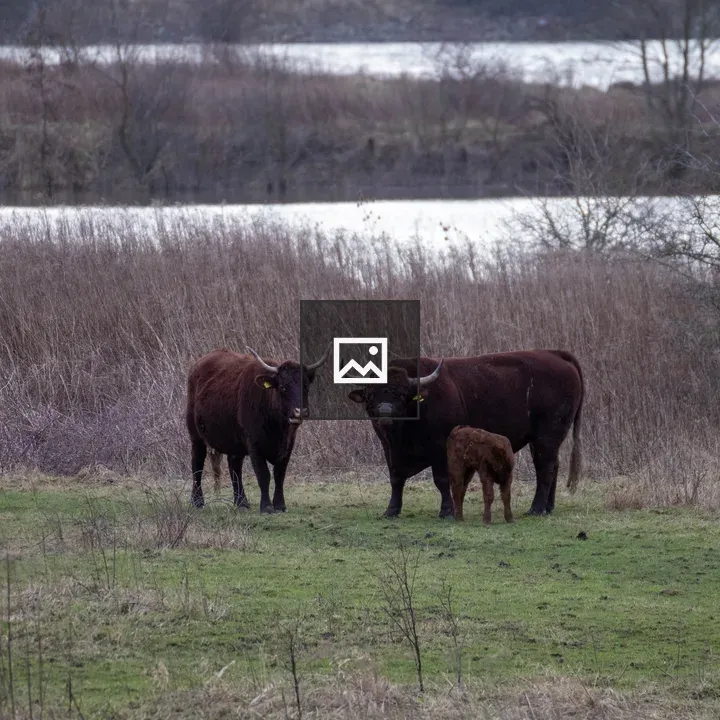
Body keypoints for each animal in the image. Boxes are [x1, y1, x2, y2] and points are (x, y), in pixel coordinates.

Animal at [186, 345, 329, 513]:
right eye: (283, 387)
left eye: (306, 386)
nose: (300, 411)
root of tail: (197, 365)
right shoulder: (254, 445)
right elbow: (263, 475)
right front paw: (266, 507)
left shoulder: (288, 446)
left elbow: (279, 474)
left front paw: (280, 505)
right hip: (196, 436)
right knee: (197, 464)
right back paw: (197, 501)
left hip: (234, 441)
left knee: (234, 467)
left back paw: (241, 502)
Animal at [347, 350, 584, 519]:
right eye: (372, 393)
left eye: (401, 393)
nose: (385, 413)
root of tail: (554, 354)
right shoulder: (389, 448)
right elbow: (396, 479)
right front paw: (391, 511)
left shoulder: (439, 447)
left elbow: (441, 479)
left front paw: (446, 511)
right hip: (540, 440)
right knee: (553, 467)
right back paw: (548, 508)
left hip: (547, 437)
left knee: (546, 469)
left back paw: (536, 509)